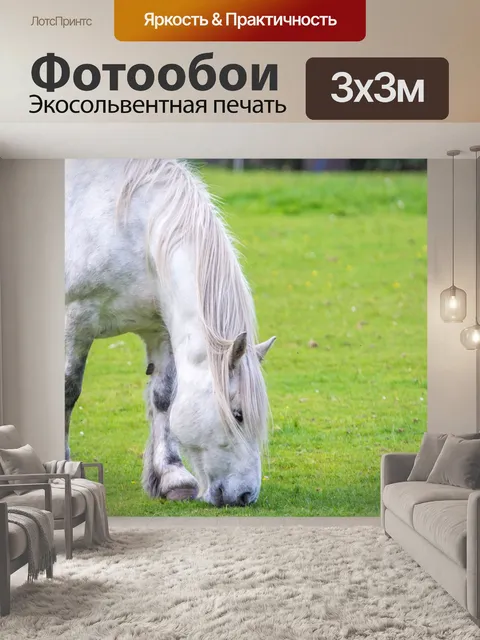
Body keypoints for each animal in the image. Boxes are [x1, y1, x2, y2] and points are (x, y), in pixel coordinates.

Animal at [65, 159, 276, 507]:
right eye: (238, 414)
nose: (246, 496)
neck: (133, 230)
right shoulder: (75, 319)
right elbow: (68, 390)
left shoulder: (160, 329)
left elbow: (164, 396)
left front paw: (171, 477)